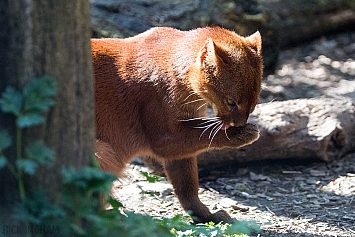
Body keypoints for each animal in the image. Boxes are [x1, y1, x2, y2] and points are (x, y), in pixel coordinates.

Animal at [92, 26, 264, 223]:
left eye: (254, 103)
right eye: (231, 102)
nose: (239, 123)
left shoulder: (178, 151)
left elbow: (187, 186)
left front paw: (206, 215)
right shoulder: (164, 138)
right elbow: (205, 134)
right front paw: (243, 134)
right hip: (101, 151)